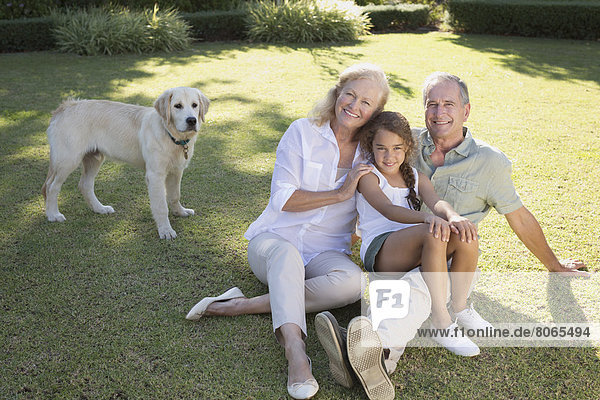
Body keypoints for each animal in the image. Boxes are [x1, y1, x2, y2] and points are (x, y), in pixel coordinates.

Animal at [42, 86, 211, 238]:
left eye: (194, 105)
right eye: (177, 106)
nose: (192, 120)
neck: (171, 136)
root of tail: (64, 107)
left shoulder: (176, 171)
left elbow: (175, 195)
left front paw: (180, 212)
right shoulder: (155, 175)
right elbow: (161, 206)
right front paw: (165, 230)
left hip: (94, 158)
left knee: (85, 185)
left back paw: (100, 208)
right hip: (67, 160)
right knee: (51, 186)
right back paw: (53, 215)